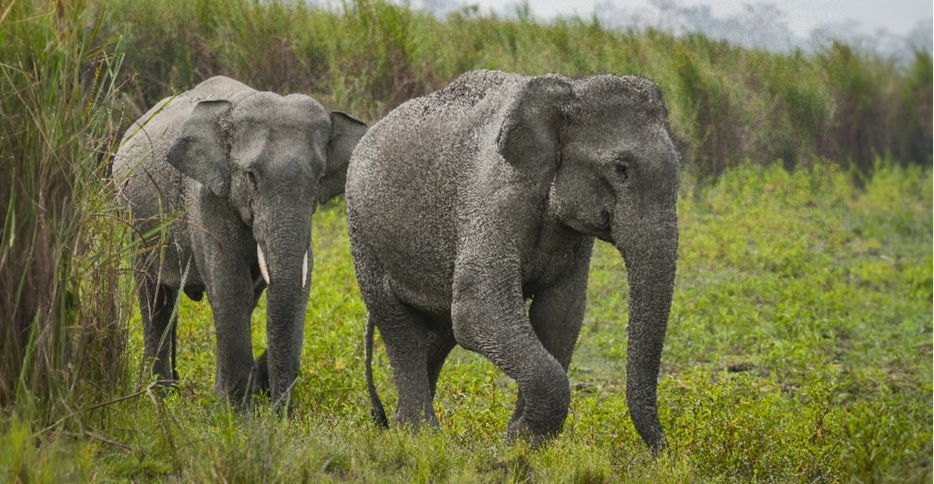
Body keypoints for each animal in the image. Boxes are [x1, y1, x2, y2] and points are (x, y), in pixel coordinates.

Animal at [113, 76, 367, 409]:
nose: (278, 410)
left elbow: (294, 284)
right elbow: (230, 285)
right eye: (250, 176)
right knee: (155, 298)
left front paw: (237, 401)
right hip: (133, 218)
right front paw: (235, 410)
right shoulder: (206, 197)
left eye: (319, 177)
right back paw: (161, 395)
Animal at [346, 70, 679, 450]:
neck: (568, 92)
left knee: (441, 328)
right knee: (399, 325)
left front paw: (523, 440)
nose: (664, 451)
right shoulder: (495, 196)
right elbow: (479, 310)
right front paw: (522, 437)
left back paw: (405, 426)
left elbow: (560, 314)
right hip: (362, 230)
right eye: (620, 168)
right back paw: (419, 433)